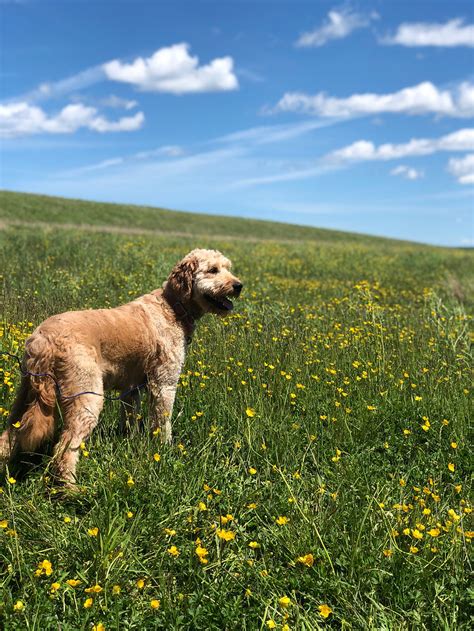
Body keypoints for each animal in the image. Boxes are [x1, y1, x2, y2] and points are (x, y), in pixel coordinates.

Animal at [0, 249, 243, 486]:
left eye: (228, 267)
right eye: (213, 270)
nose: (239, 285)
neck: (173, 307)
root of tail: (44, 340)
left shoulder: (131, 389)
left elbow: (130, 419)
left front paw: (129, 442)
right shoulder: (164, 384)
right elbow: (162, 422)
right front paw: (164, 450)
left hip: (26, 395)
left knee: (9, 436)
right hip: (87, 396)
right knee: (64, 448)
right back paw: (71, 487)